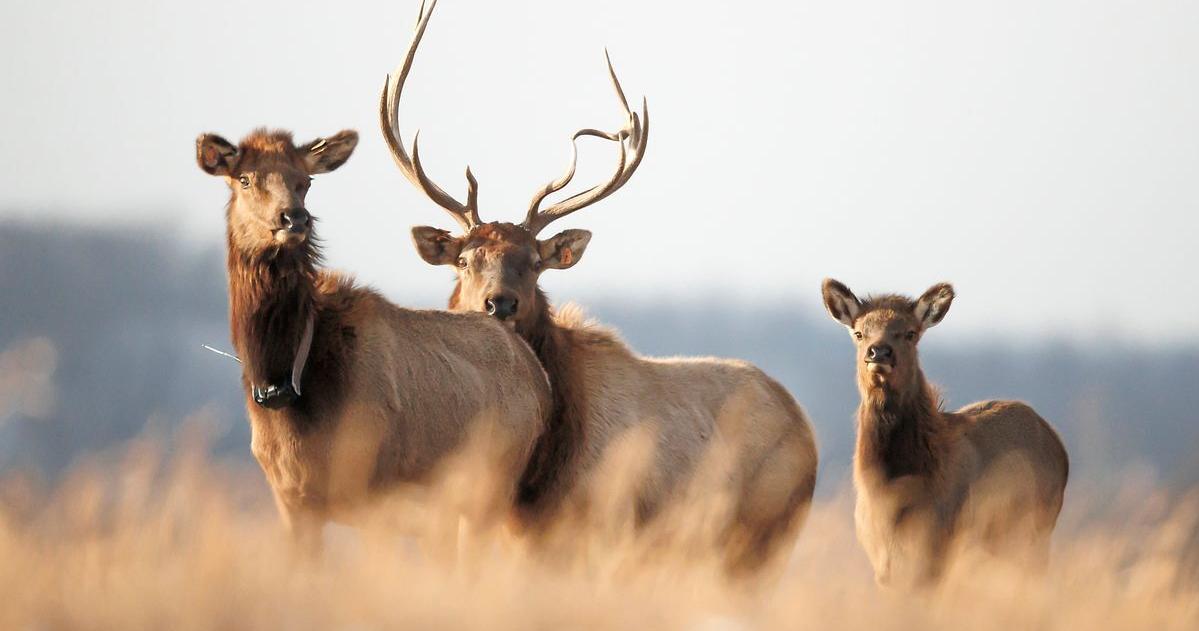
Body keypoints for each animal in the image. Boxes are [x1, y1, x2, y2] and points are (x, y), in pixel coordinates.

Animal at [195, 126, 552, 552]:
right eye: (245, 178)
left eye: (306, 181)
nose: (294, 218)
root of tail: (538, 374)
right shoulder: (290, 499)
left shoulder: (372, 489)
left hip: (488, 490)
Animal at [379, 0, 818, 575]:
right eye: (466, 260)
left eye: (533, 263)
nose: (499, 303)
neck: (537, 473)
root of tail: (808, 431)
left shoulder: (596, 531)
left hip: (762, 537)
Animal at [821, 279, 1069, 587]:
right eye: (859, 333)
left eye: (910, 333)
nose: (879, 352)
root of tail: (1057, 443)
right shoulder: (881, 562)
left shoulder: (937, 547)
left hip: (1037, 529)